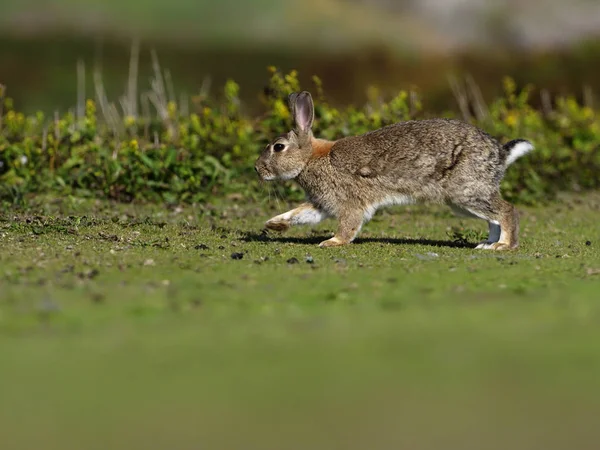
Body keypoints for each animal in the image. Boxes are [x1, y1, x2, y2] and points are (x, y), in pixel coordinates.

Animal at [254, 91, 536, 250]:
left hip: (465, 191)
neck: (311, 158)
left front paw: (332, 242)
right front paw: (273, 224)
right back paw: (487, 245)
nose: (257, 169)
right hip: (464, 200)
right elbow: (300, 214)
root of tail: (500, 153)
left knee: (507, 211)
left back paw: (504, 246)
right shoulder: (321, 203)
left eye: (278, 147)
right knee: (493, 218)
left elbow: (348, 224)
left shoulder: (349, 201)